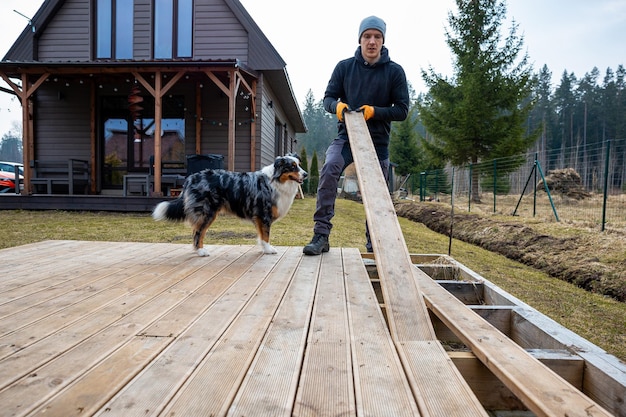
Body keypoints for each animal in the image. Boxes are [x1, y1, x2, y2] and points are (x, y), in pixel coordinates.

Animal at [152, 154, 306, 255]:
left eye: (299, 164)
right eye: (292, 167)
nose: (306, 174)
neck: (276, 181)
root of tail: (191, 177)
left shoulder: (259, 217)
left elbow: (261, 234)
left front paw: (263, 248)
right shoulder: (263, 214)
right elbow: (266, 234)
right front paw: (268, 249)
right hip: (207, 212)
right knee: (198, 231)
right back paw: (201, 251)